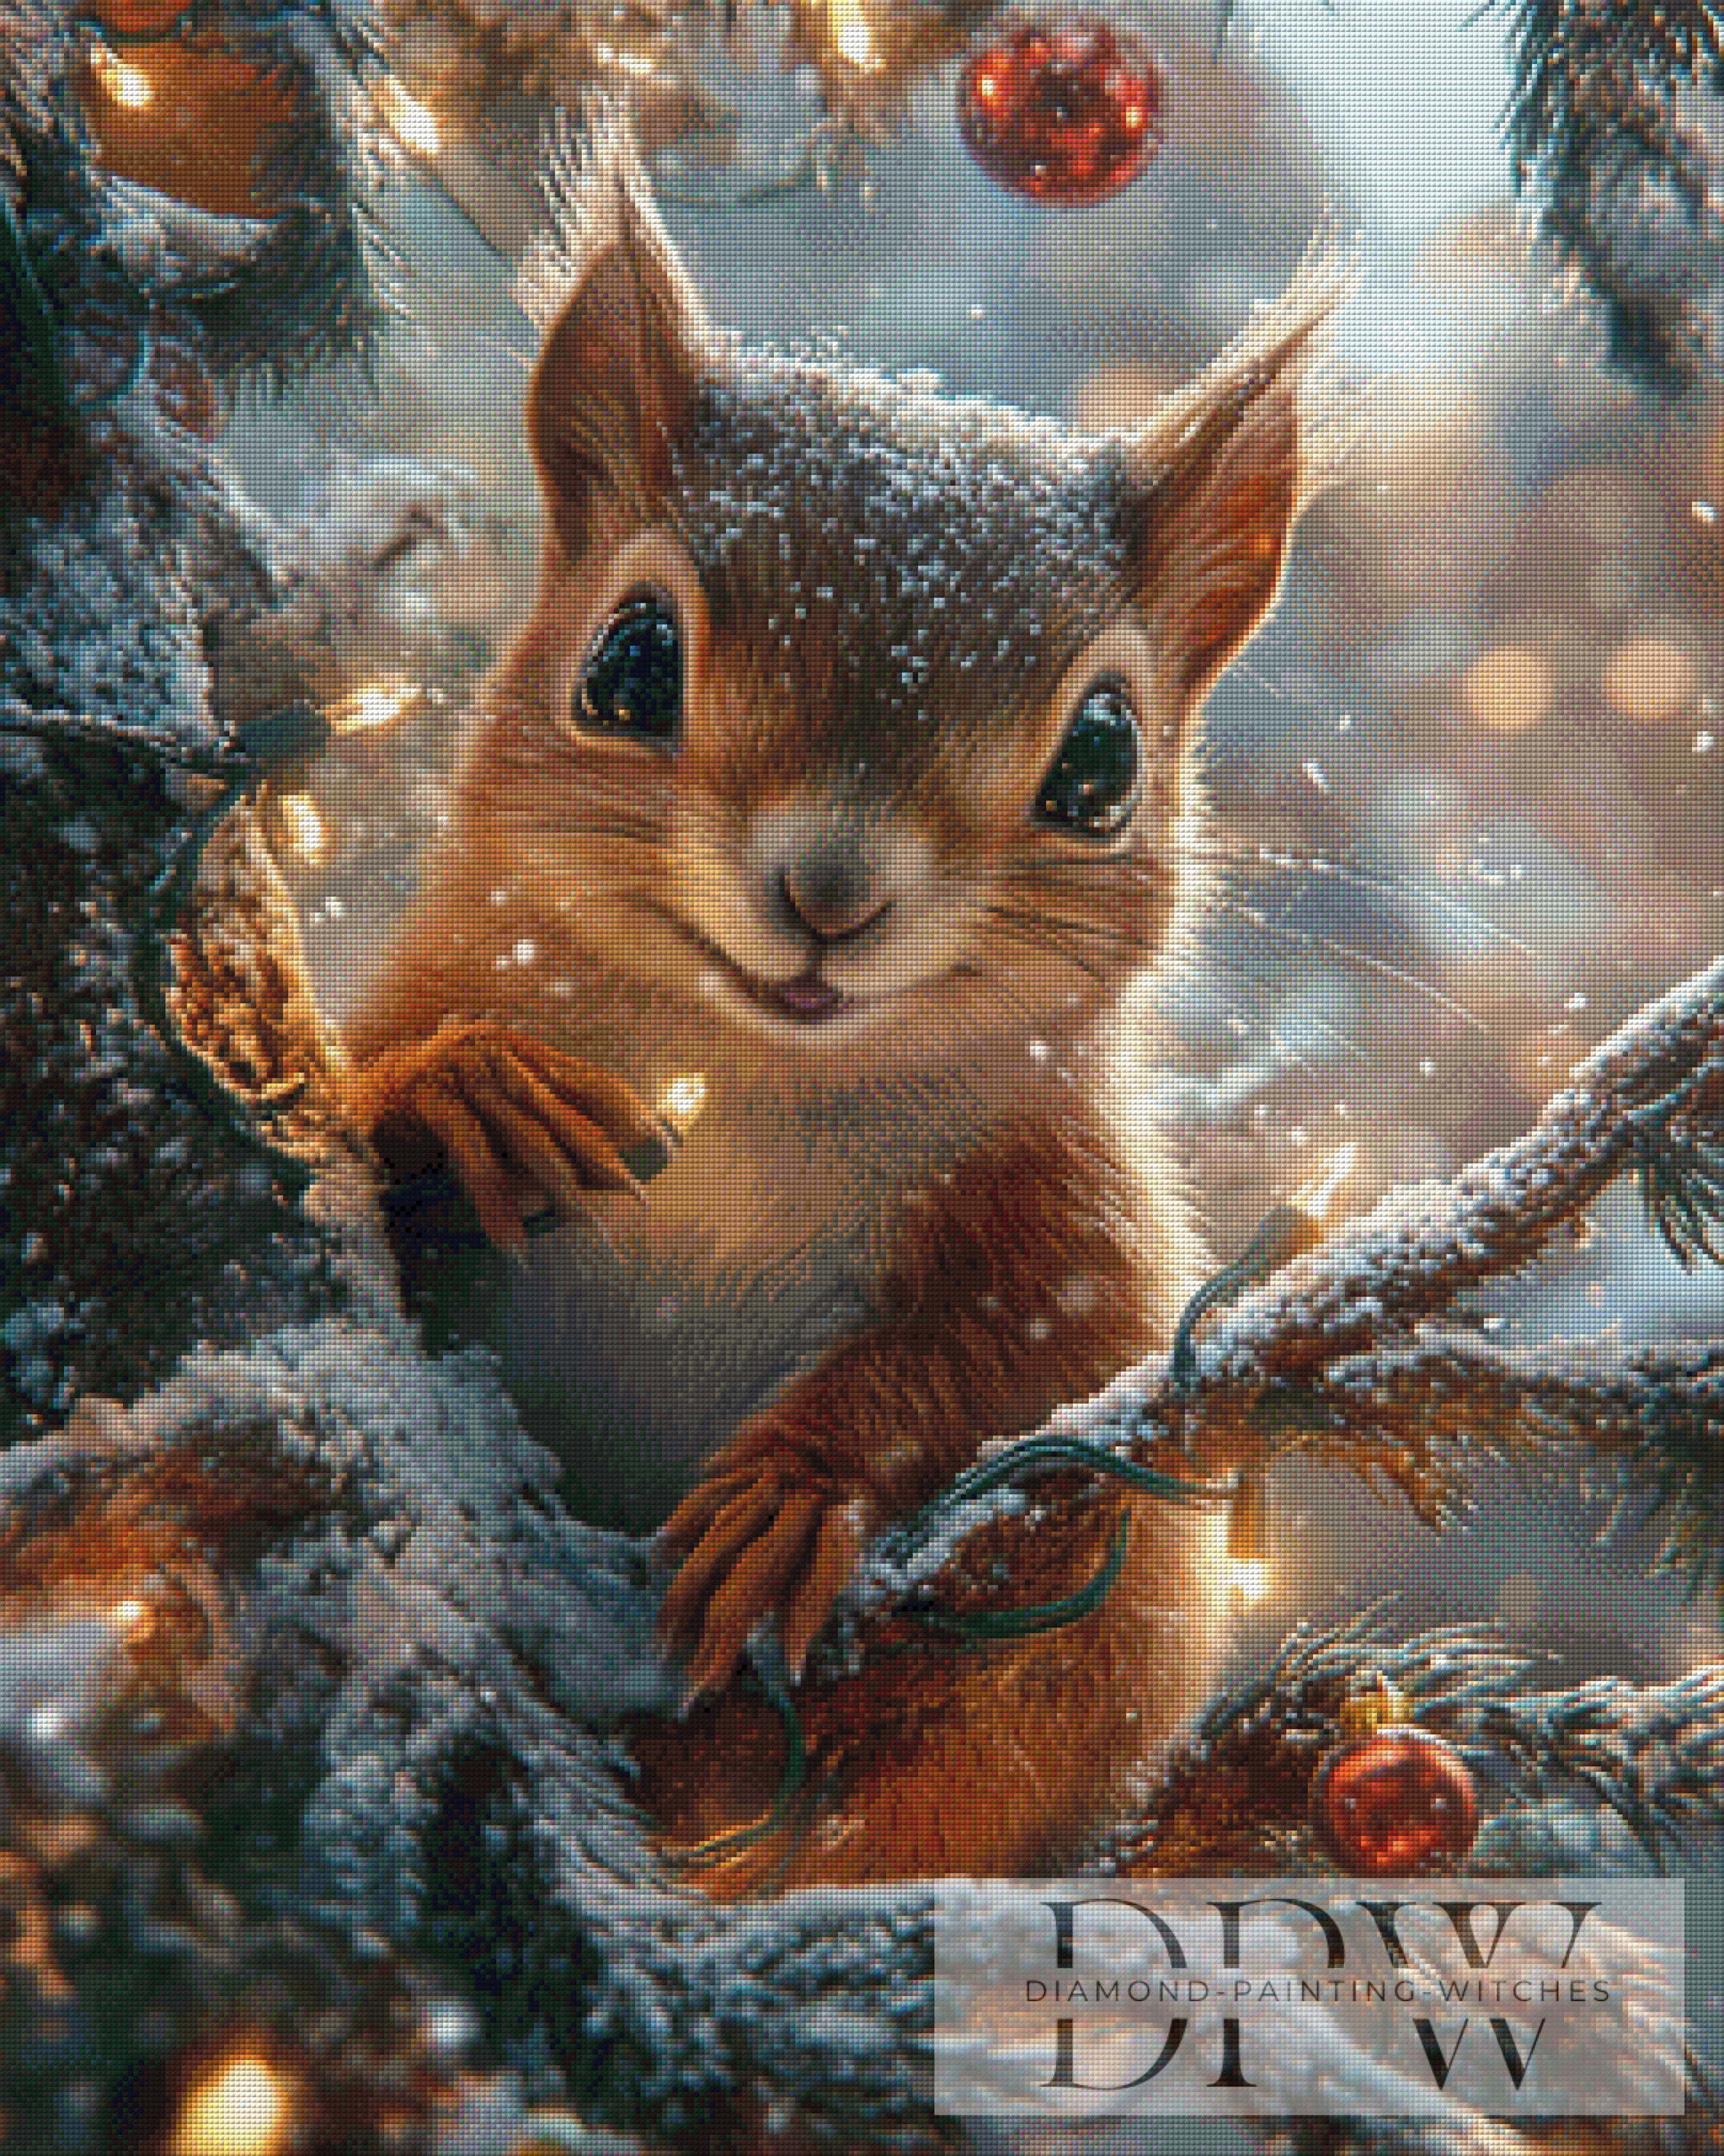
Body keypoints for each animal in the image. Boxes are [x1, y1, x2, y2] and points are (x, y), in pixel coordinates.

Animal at [342, 113, 1339, 1897]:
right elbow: (332, 1092)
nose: (828, 892)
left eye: (1101, 762)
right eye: (628, 661)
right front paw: (461, 1089)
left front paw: (798, 1490)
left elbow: (1010, 1361)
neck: (744, 1085)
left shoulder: (1067, 1217)